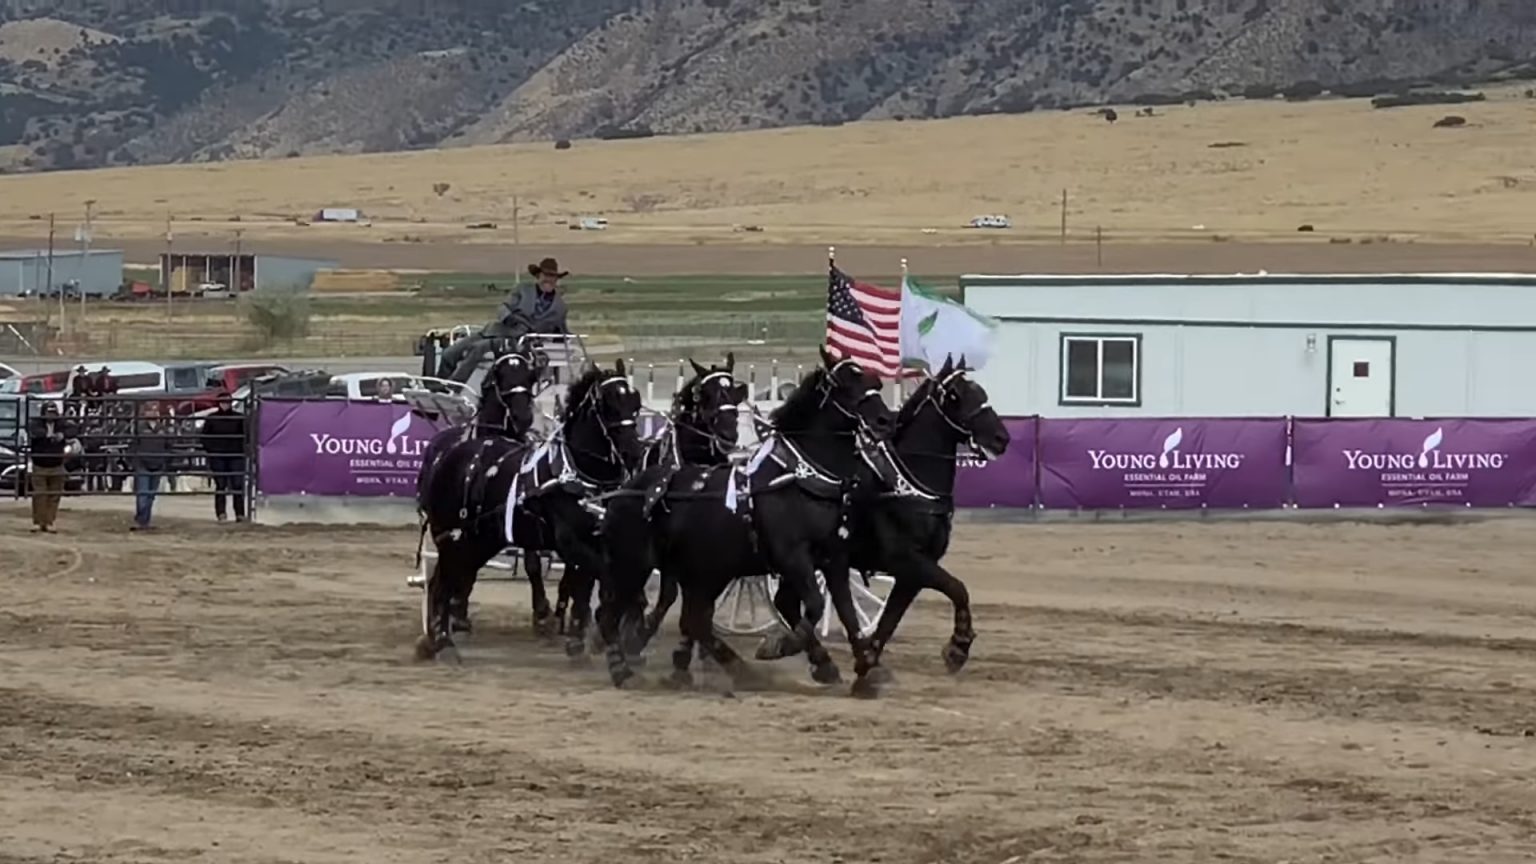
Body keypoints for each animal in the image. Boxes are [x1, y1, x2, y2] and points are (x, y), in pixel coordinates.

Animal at [595, 344, 897, 685]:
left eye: (871, 378)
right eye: (844, 383)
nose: (886, 419)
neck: (799, 478)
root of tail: (625, 491)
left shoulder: (833, 559)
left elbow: (844, 610)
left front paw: (864, 666)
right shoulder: (793, 557)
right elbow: (814, 605)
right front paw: (783, 645)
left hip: (705, 569)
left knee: (693, 619)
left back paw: (728, 666)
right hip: (633, 564)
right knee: (610, 615)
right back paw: (623, 668)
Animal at [755, 353, 1007, 694]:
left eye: (981, 391)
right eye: (956, 396)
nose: (1001, 438)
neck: (907, 483)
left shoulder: (913, 572)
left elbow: (890, 620)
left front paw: (869, 663)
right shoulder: (906, 560)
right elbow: (958, 588)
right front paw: (958, 647)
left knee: (787, 601)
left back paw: (819, 661)